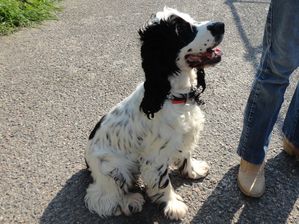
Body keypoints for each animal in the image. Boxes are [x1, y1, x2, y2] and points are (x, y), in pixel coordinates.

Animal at [84, 7, 225, 220]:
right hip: (113, 168)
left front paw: (193, 170)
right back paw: (130, 201)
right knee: (101, 199)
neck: (171, 95)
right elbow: (163, 183)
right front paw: (173, 205)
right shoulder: (155, 157)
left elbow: (187, 155)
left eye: (191, 19)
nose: (221, 25)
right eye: (180, 29)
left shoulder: (185, 135)